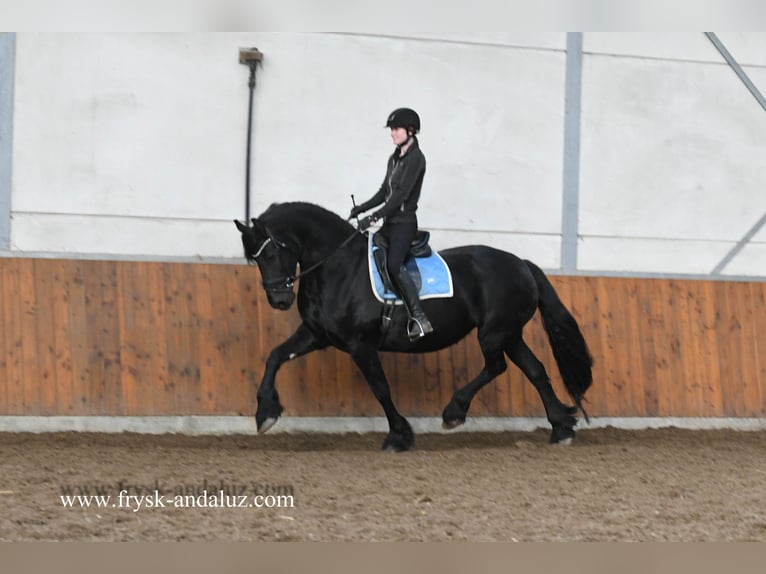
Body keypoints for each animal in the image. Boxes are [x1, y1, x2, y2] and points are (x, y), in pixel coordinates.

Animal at [234, 205, 592, 452]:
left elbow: (380, 387)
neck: (337, 267)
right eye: (254, 258)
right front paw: (265, 413)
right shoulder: (316, 335)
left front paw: (399, 436)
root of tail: (522, 264)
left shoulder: (359, 344)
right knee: (535, 370)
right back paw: (561, 428)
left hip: (493, 333)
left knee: (496, 366)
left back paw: (454, 411)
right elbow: (275, 356)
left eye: (270, 252)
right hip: (510, 334)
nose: (279, 299)